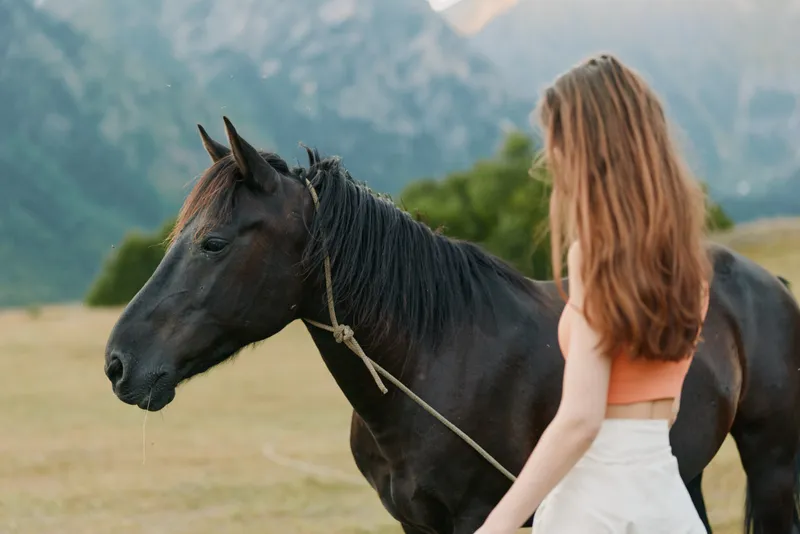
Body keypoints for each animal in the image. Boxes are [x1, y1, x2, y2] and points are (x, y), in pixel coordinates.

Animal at [103, 117, 800, 534]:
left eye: (214, 243)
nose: (117, 362)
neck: (432, 362)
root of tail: (768, 282)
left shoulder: (480, 515)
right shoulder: (415, 521)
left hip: (770, 467)